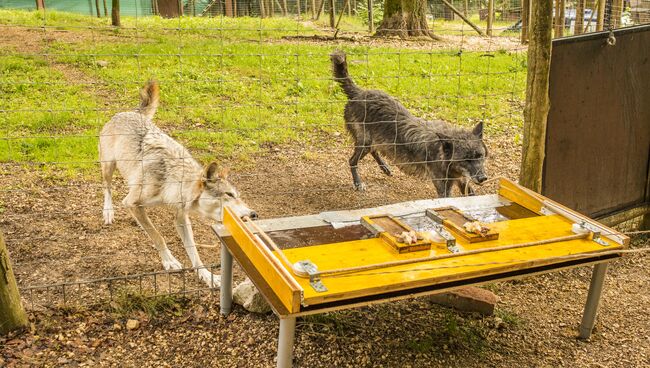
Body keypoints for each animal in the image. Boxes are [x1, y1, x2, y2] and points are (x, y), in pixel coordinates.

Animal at [98, 80, 256, 288]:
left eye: (237, 195)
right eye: (230, 195)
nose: (254, 214)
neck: (173, 181)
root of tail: (130, 112)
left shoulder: (181, 216)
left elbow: (193, 250)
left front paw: (206, 275)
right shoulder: (132, 203)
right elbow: (158, 235)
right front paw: (169, 261)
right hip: (108, 166)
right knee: (106, 187)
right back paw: (108, 212)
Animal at [330, 51, 486, 198]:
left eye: (480, 156)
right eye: (466, 159)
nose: (483, 178)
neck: (441, 151)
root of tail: (359, 92)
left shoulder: (462, 179)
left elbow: (471, 194)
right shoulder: (443, 187)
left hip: (372, 142)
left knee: (374, 151)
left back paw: (385, 168)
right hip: (365, 143)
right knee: (352, 161)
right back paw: (358, 183)